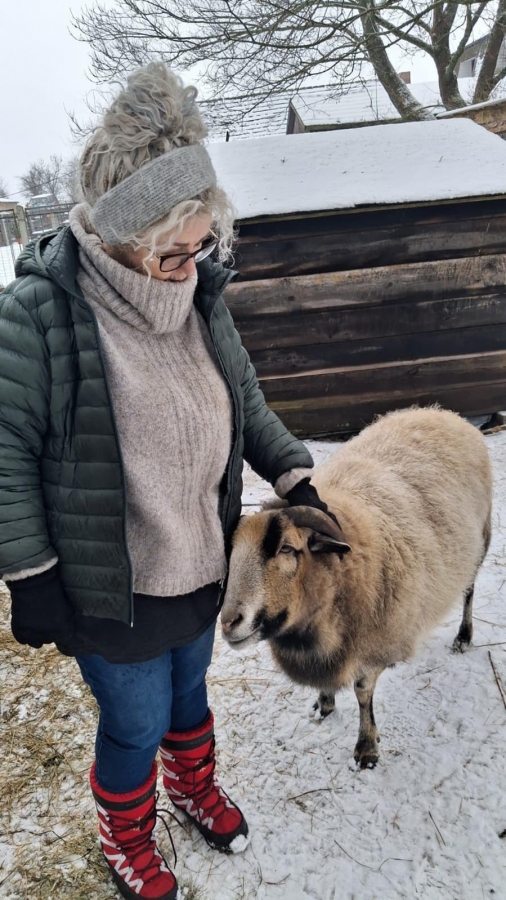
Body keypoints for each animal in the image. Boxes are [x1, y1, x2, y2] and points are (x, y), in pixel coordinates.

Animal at [221, 407, 492, 768]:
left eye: (287, 549)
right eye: (232, 552)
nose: (228, 622)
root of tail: (438, 412)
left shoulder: (375, 639)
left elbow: (363, 691)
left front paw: (366, 747)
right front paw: (324, 703)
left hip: (480, 539)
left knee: (469, 590)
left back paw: (464, 636)